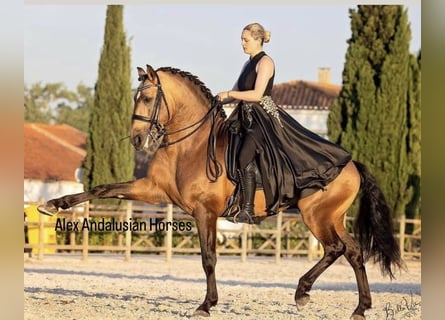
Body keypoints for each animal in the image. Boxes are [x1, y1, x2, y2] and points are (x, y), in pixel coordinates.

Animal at [39, 63, 402, 318]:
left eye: (147, 98)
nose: (139, 140)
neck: (190, 146)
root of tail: (351, 164)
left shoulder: (205, 211)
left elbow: (209, 258)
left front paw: (206, 305)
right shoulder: (152, 190)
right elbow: (104, 188)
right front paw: (54, 204)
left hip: (316, 215)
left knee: (335, 249)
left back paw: (303, 292)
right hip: (332, 217)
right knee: (353, 252)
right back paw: (360, 308)